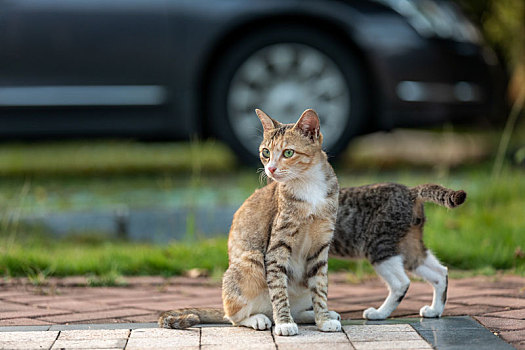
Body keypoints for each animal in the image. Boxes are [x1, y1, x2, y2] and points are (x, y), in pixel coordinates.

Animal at [158, 109, 342, 336]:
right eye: (266, 152)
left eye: (288, 153)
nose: (271, 169)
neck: (309, 187)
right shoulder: (277, 246)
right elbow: (279, 291)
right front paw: (284, 323)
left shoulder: (320, 247)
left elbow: (320, 288)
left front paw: (323, 319)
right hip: (251, 260)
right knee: (234, 317)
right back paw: (259, 319)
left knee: (297, 307)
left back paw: (312, 315)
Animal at [330, 183, 464, 320]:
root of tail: (409, 191)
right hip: (408, 247)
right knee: (440, 273)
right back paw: (434, 311)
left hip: (379, 246)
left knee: (401, 283)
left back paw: (379, 313)